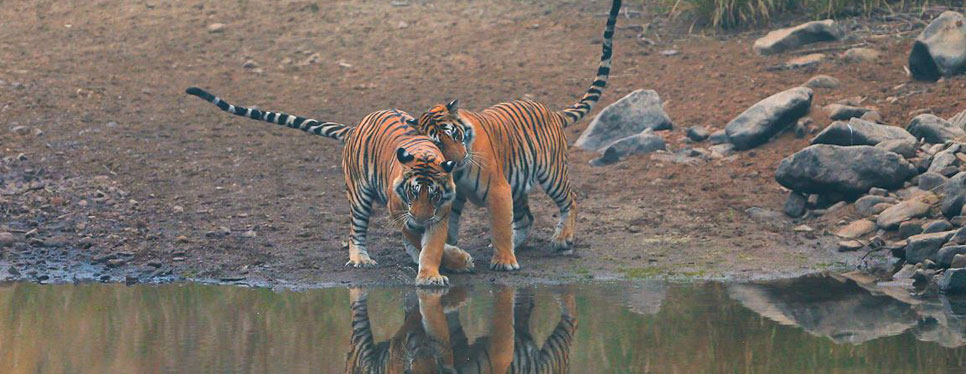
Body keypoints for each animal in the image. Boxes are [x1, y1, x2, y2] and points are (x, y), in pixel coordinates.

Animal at [184, 88, 472, 286]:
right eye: (412, 194)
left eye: (434, 196)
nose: (420, 219)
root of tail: (355, 127)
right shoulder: (401, 212)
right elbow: (416, 236)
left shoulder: (440, 214)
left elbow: (431, 247)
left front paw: (434, 272)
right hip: (359, 196)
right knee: (356, 232)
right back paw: (360, 259)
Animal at [412, 0, 624, 270]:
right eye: (438, 143)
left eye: (456, 135)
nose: (458, 160)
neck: (456, 172)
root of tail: (552, 112)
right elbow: (448, 229)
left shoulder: (498, 188)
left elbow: (500, 225)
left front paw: (504, 262)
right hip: (519, 181)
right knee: (526, 218)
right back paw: (519, 243)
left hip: (552, 173)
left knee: (571, 199)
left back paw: (562, 239)